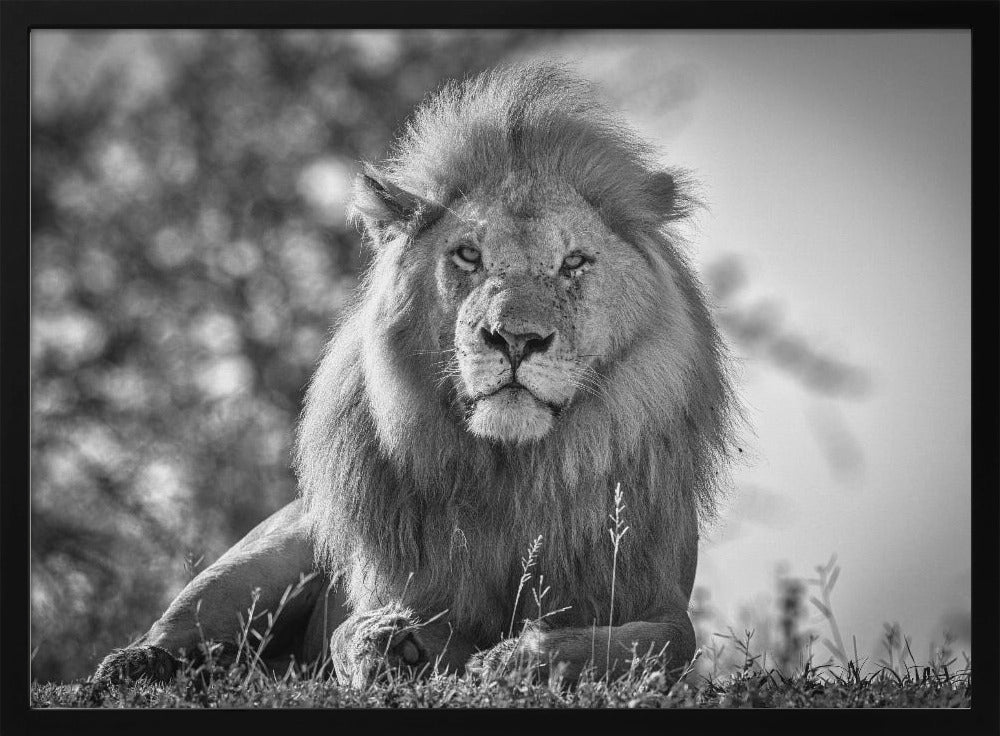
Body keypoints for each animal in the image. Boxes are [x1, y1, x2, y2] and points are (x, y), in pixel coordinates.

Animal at [94, 63, 735, 689]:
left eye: (573, 262)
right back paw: (133, 666)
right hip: (271, 551)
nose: (516, 339)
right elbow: (350, 632)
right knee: (181, 629)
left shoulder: (656, 594)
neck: (515, 473)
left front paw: (518, 659)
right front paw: (391, 645)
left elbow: (654, 645)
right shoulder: (386, 584)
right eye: (468, 256)